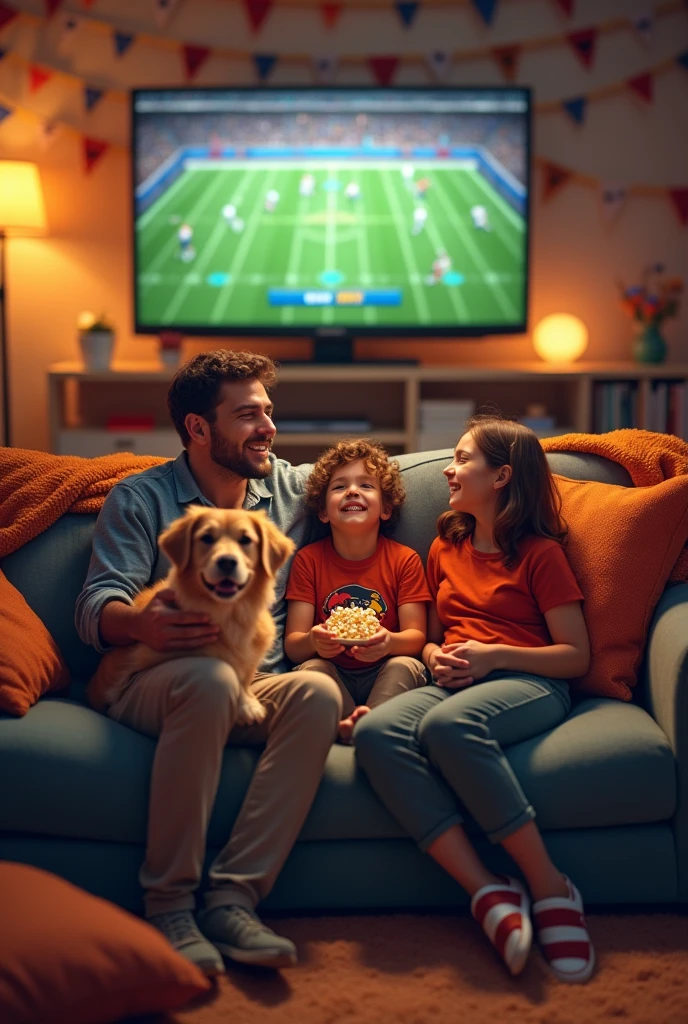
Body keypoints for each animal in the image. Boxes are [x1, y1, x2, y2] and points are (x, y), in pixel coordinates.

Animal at [87, 507, 294, 724]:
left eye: (245, 540)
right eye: (207, 538)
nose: (227, 562)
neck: (228, 614)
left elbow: (245, 675)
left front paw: (247, 703)